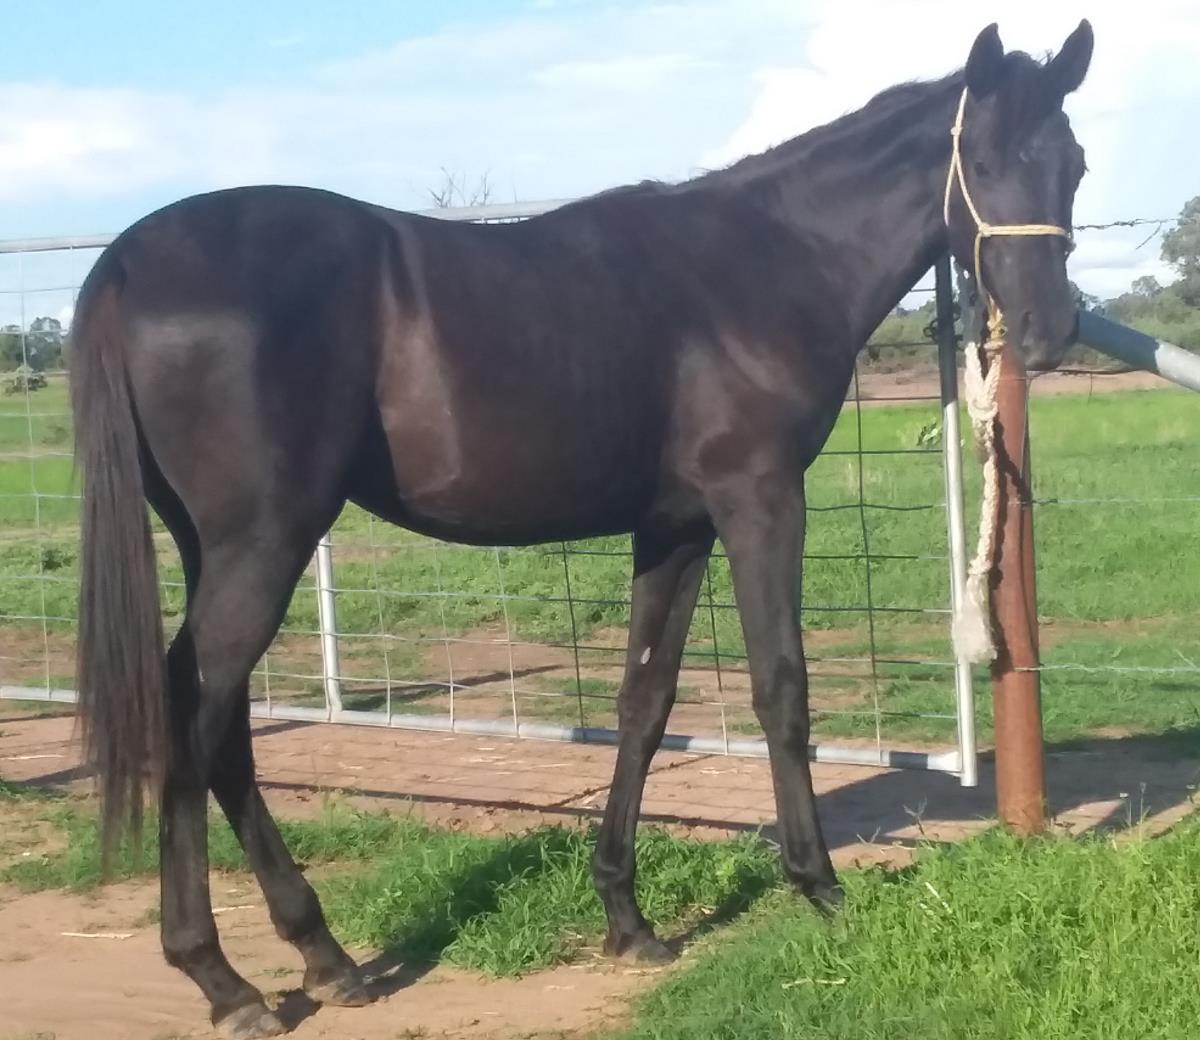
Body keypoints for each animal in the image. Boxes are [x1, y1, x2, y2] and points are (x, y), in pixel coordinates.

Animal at [69, 20, 1093, 1038]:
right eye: (984, 160)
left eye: (1074, 163)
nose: (1046, 332)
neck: (765, 261)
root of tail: (128, 259)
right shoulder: (760, 501)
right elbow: (781, 687)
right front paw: (819, 887)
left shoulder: (674, 529)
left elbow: (645, 703)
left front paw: (626, 918)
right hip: (264, 542)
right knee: (195, 713)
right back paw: (223, 979)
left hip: (218, 546)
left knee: (222, 725)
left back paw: (326, 956)